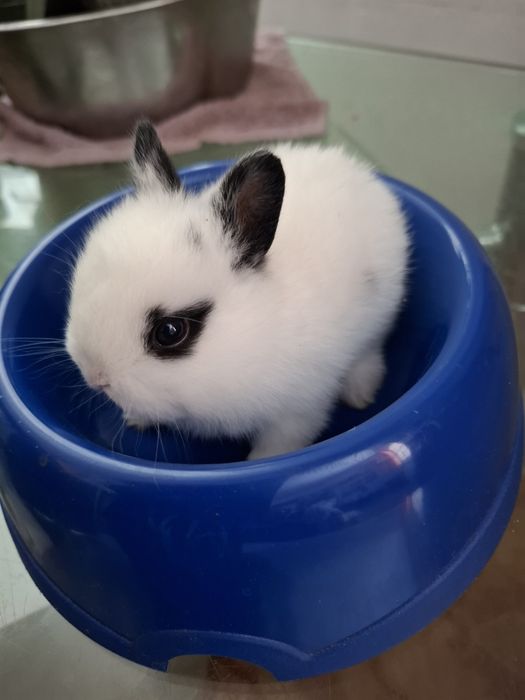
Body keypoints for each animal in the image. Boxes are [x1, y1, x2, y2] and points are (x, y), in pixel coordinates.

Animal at [65, 121, 409, 461]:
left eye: (170, 331)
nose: (96, 376)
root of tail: (357, 170)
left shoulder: (296, 413)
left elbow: (278, 445)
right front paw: (136, 418)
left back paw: (360, 394)